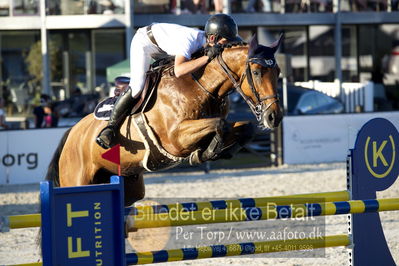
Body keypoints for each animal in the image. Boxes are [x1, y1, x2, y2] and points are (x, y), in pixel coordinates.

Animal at [46, 34, 284, 206]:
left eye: (278, 72)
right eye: (257, 72)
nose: (274, 116)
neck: (200, 85)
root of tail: (71, 133)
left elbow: (245, 127)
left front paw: (221, 150)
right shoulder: (175, 139)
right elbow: (220, 125)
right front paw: (208, 151)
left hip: (127, 183)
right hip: (77, 181)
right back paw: (106, 134)